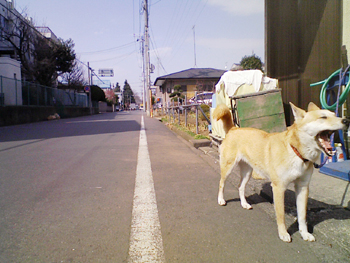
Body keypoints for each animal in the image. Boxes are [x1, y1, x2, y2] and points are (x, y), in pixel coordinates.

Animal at [213, 102, 350, 242]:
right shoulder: (278, 187)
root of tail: (234, 129)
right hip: (228, 168)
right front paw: (283, 233)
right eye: (323, 117)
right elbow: (281, 215)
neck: (296, 152)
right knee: (221, 184)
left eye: (335, 114)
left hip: (247, 172)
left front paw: (304, 233)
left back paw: (244, 204)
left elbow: (302, 216)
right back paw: (221, 200)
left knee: (240, 187)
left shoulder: (303, 187)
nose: (346, 121)